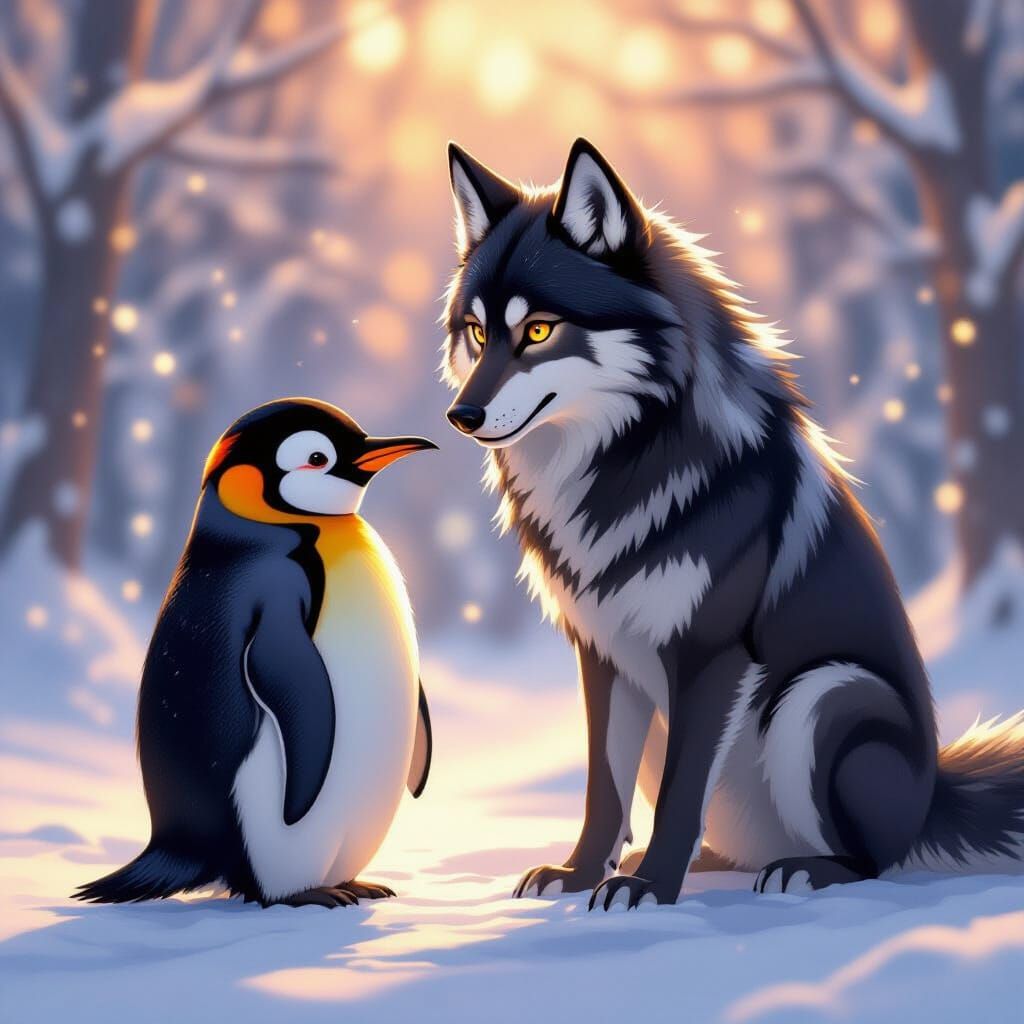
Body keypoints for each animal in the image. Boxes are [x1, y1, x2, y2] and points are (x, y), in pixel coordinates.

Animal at [439, 137, 1024, 910]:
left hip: (825, 693)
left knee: (872, 860)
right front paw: (581, 873)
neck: (624, 460)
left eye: (538, 331)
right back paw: (718, 865)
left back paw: (807, 870)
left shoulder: (710, 655)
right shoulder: (602, 655)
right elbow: (603, 790)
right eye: (478, 333)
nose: (461, 416)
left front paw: (649, 889)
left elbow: (682, 796)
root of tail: (932, 801)